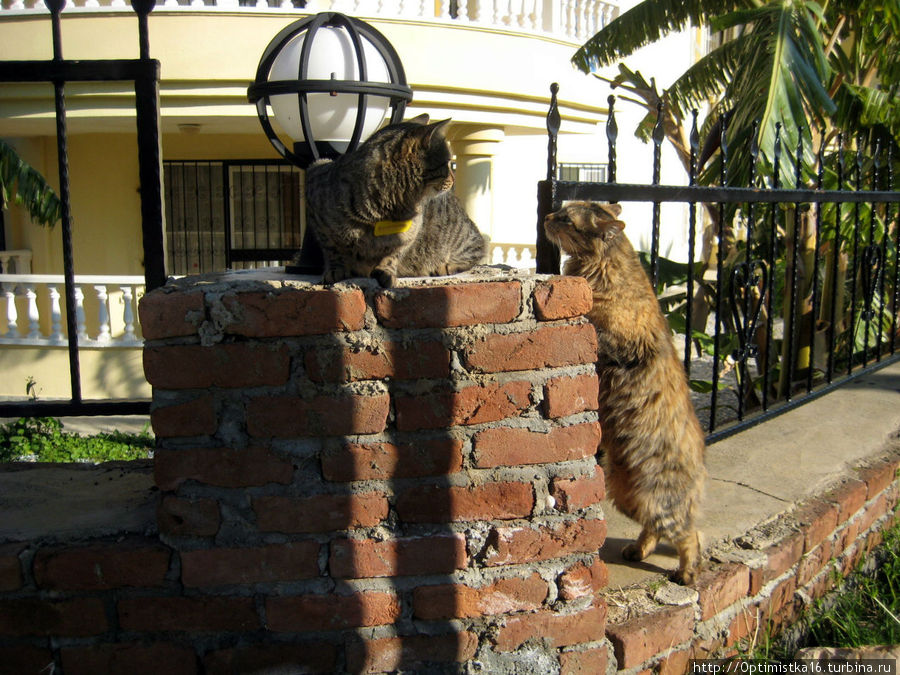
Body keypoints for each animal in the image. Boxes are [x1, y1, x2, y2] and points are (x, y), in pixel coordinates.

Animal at [304, 114, 488, 288]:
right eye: (447, 162)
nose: (454, 177)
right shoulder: (315, 197)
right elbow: (333, 250)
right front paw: (336, 269)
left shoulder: (410, 232)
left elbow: (393, 254)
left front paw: (386, 271)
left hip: (465, 240)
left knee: (476, 252)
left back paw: (444, 266)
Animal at [544, 201, 708, 588]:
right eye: (559, 211)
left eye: (566, 218)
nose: (545, 217)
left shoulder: (622, 342)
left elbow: (597, 326)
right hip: (628, 497)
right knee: (656, 530)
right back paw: (637, 550)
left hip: (659, 503)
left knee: (690, 536)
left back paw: (686, 573)